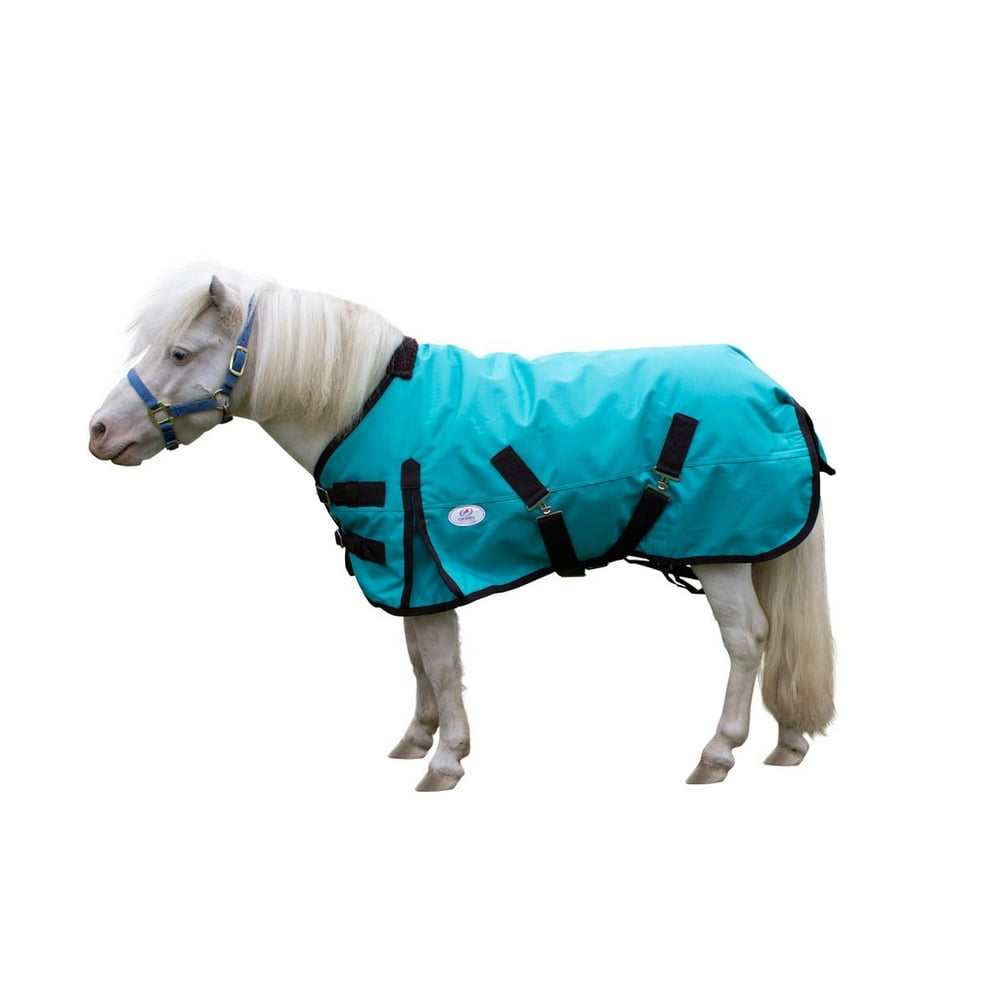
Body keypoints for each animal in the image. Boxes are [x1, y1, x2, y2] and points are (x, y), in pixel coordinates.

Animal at [89, 265, 836, 790]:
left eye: (179, 353)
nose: (98, 431)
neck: (361, 405)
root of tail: (776, 390)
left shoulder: (424, 564)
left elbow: (442, 664)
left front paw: (445, 761)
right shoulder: (408, 575)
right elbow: (419, 660)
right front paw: (417, 739)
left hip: (720, 553)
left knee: (747, 641)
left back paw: (718, 753)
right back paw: (788, 743)